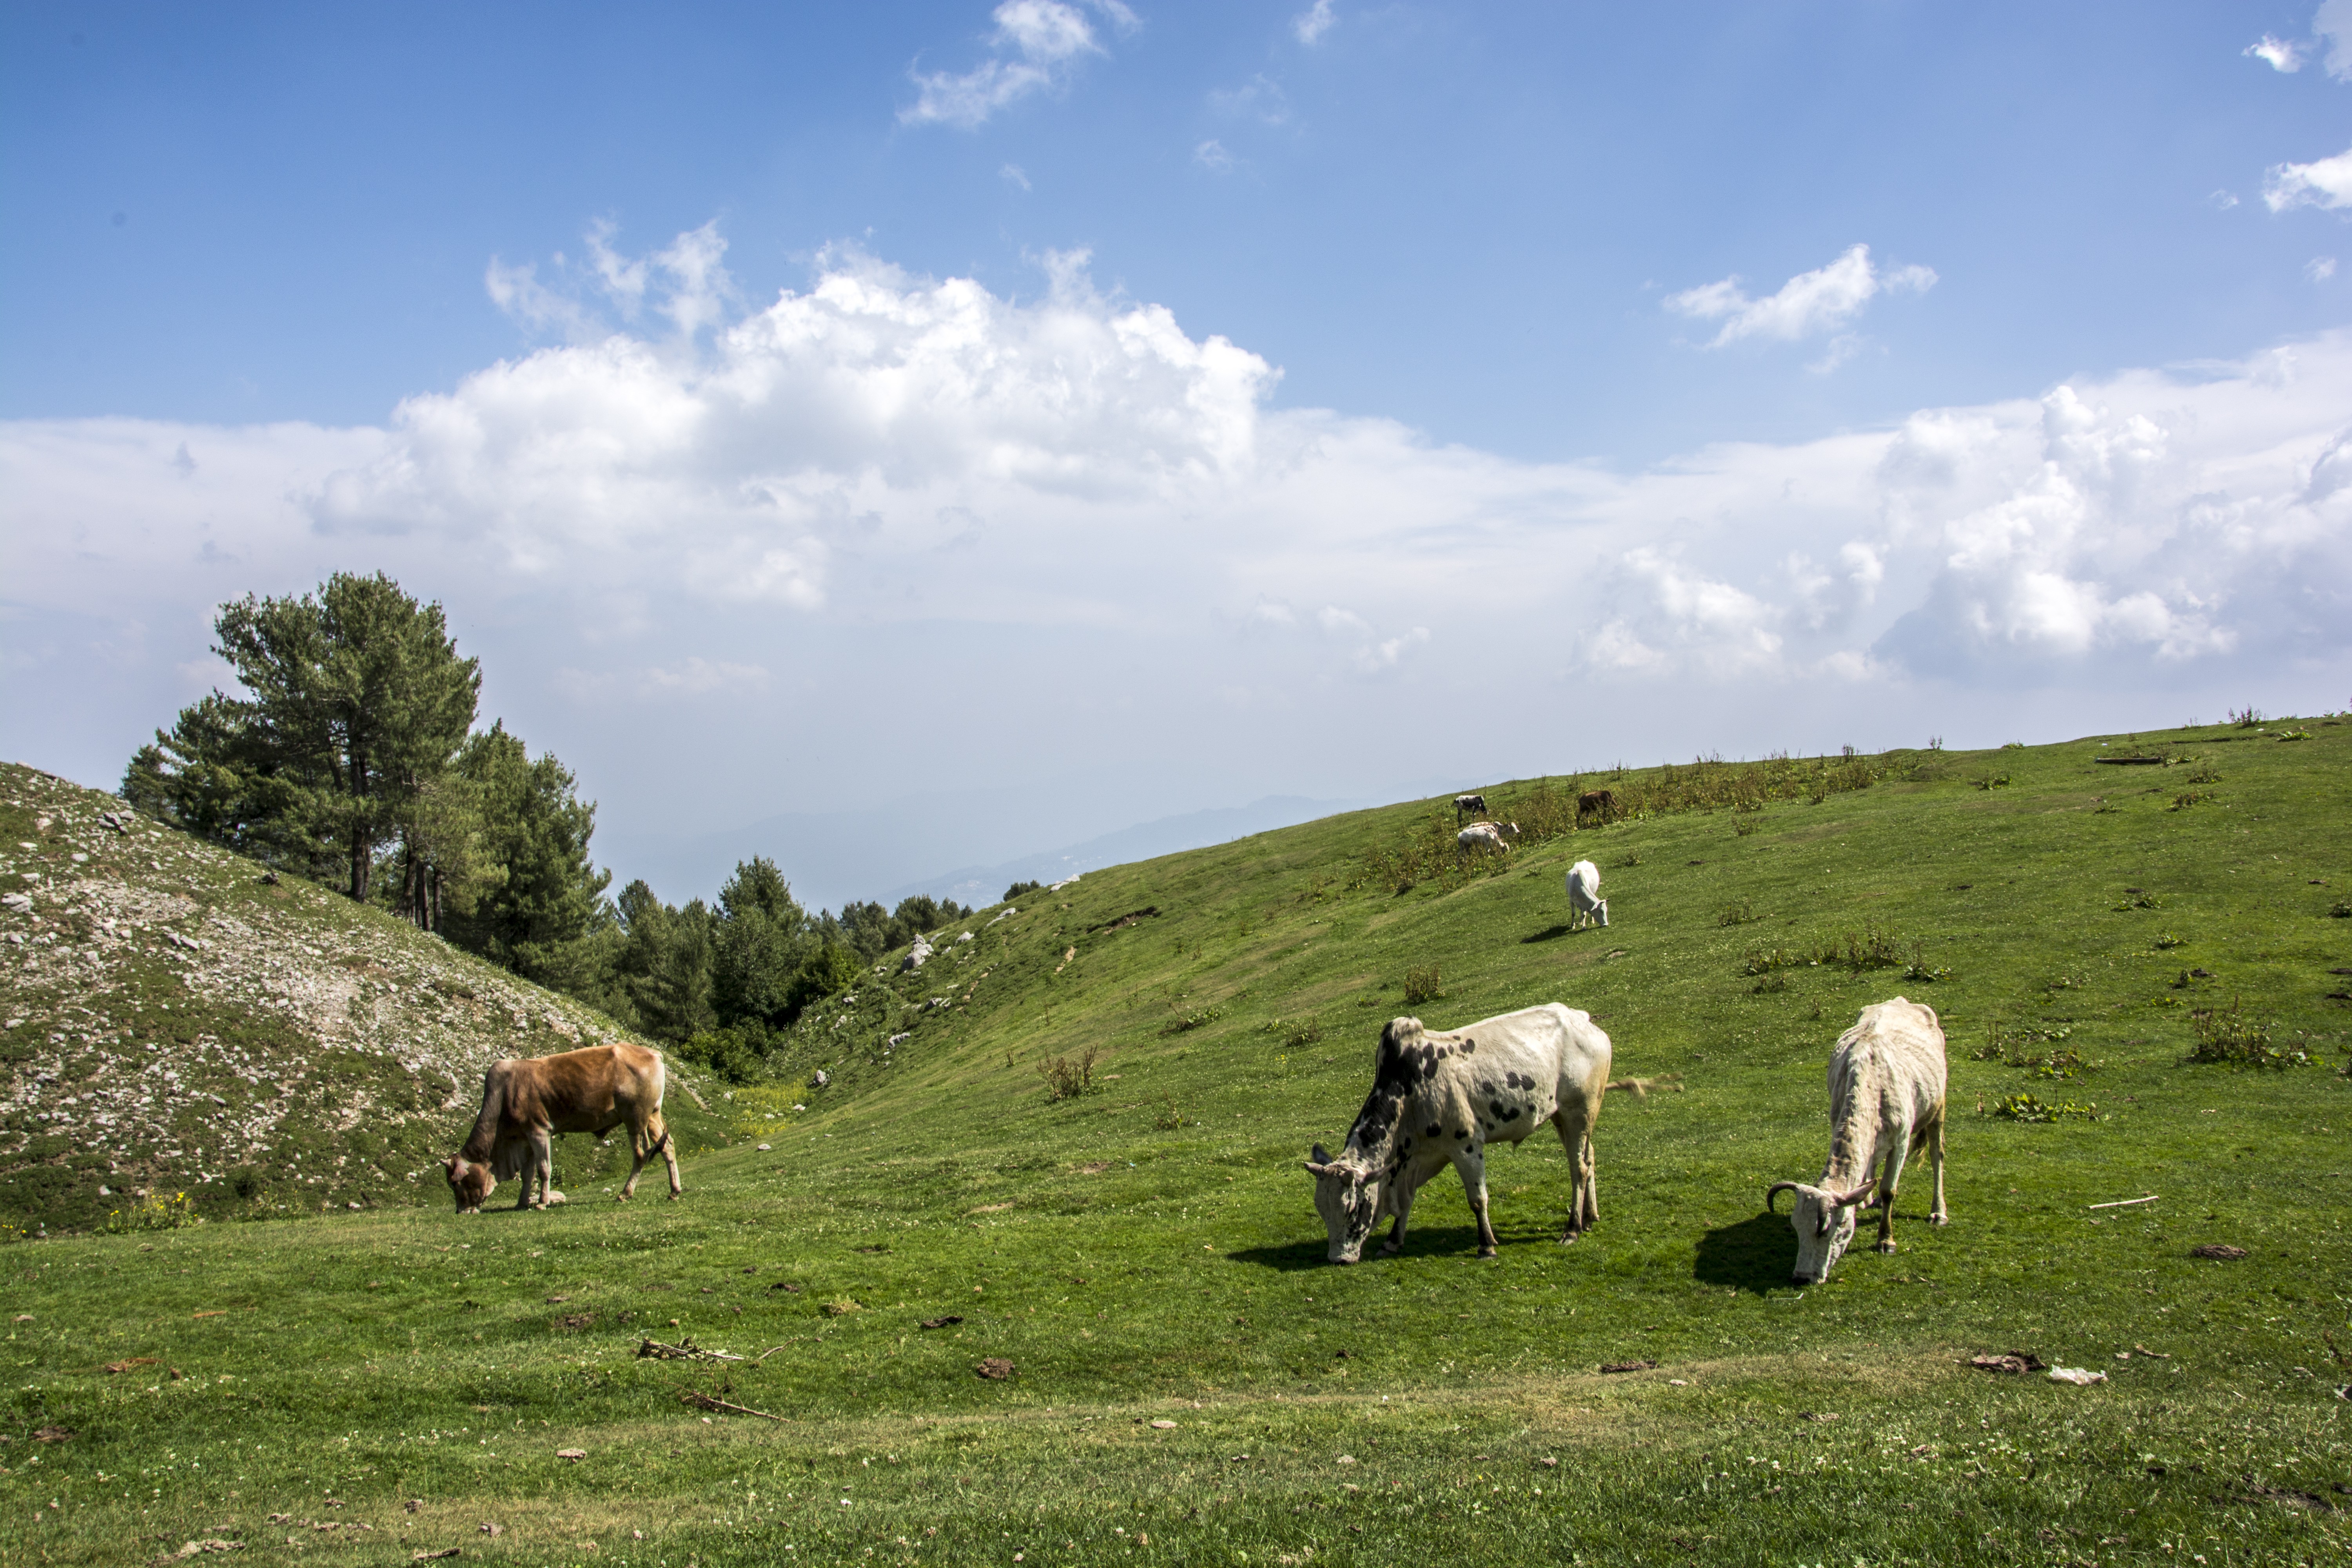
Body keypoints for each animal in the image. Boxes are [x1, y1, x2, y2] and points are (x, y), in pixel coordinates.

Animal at [445, 1044, 682, 1213]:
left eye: (455, 1183)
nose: (460, 1211)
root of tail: (654, 1053)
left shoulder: (539, 1131)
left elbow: (544, 1169)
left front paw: (542, 1202)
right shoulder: (525, 1137)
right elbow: (528, 1174)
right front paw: (522, 1203)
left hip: (635, 1119)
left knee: (641, 1154)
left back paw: (626, 1193)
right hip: (653, 1116)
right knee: (667, 1146)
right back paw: (674, 1191)